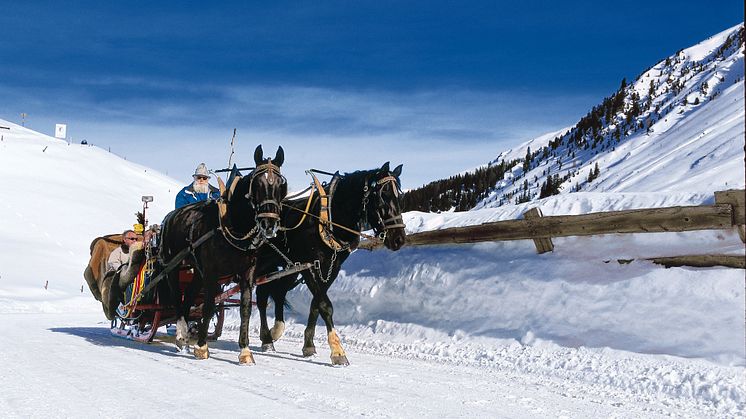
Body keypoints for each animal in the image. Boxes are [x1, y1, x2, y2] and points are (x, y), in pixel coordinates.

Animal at [158, 145, 286, 364]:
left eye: (281, 185)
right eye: (257, 184)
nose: (269, 224)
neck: (234, 224)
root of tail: (170, 217)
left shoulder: (247, 272)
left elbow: (245, 308)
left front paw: (245, 351)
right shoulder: (212, 271)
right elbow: (209, 306)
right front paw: (201, 347)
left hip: (197, 272)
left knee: (189, 296)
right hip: (173, 266)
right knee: (177, 297)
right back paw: (182, 335)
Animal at [256, 162, 406, 366]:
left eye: (400, 197)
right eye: (383, 196)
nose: (399, 239)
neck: (328, 219)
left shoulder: (331, 267)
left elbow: (316, 304)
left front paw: (309, 345)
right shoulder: (309, 266)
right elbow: (325, 305)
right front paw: (337, 351)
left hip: (289, 266)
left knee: (278, 292)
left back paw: (276, 330)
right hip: (264, 263)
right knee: (262, 296)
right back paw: (266, 338)